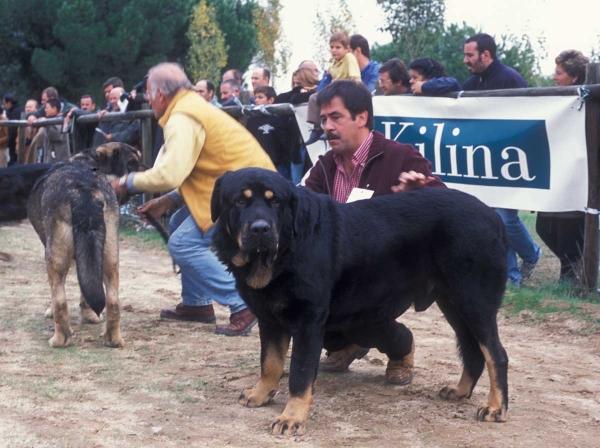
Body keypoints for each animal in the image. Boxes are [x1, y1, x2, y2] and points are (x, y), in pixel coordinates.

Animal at [25, 143, 145, 346]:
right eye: (132, 162)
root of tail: (84, 190)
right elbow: (87, 288)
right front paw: (90, 316)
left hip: (55, 259)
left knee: (60, 300)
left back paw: (59, 339)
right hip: (109, 255)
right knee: (113, 300)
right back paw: (112, 339)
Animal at [211, 167, 510, 434]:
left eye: (275, 201)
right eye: (240, 201)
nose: (261, 229)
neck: (285, 250)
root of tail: (493, 216)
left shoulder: (308, 320)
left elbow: (300, 373)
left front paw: (291, 418)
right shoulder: (270, 319)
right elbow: (270, 362)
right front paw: (261, 393)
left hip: (474, 301)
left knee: (496, 354)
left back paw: (496, 408)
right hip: (453, 305)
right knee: (473, 351)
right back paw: (460, 391)